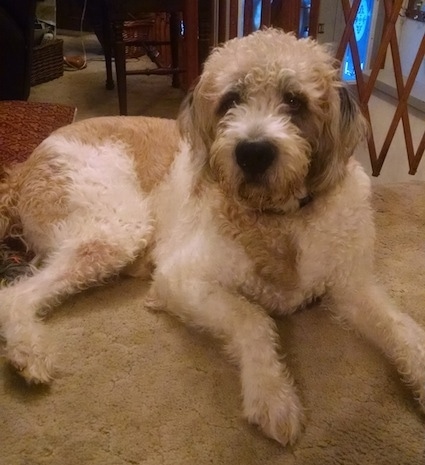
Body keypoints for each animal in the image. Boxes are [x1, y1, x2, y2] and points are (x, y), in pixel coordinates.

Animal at [0, 29, 424, 442]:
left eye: (295, 100)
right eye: (230, 100)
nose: (253, 153)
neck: (279, 219)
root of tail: (22, 167)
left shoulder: (353, 286)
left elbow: (402, 327)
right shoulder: (181, 279)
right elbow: (253, 318)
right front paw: (272, 394)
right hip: (114, 232)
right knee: (14, 295)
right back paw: (28, 353)